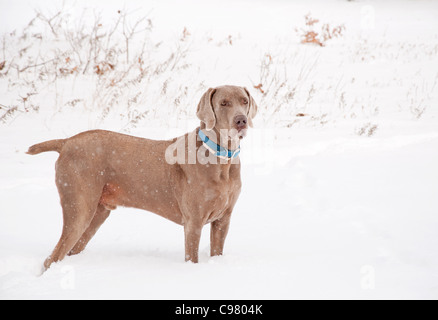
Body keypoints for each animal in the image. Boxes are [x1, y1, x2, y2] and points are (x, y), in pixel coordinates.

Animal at [27, 85, 258, 270]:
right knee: (51, 258)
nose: (241, 120)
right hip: (79, 208)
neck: (222, 159)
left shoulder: (223, 219)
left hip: (97, 214)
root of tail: (66, 142)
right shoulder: (193, 222)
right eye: (224, 103)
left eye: (244, 101)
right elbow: (191, 257)